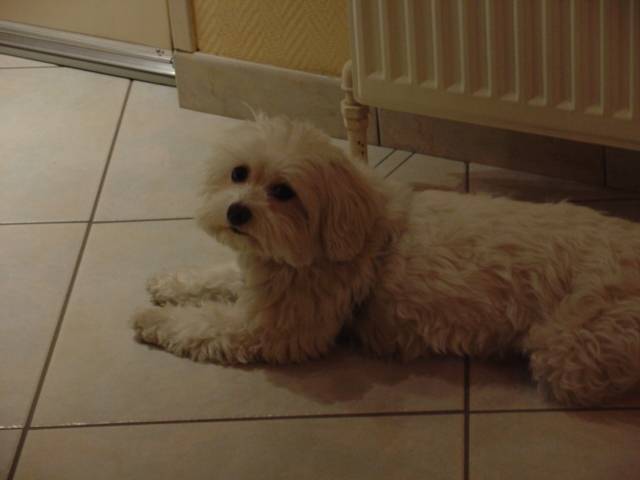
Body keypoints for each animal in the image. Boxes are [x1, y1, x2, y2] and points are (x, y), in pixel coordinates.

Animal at [133, 114, 640, 406]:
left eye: (284, 191)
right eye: (239, 173)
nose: (236, 212)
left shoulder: (276, 328)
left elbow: (205, 324)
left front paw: (154, 320)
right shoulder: (262, 280)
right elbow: (216, 277)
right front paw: (170, 284)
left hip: (571, 346)